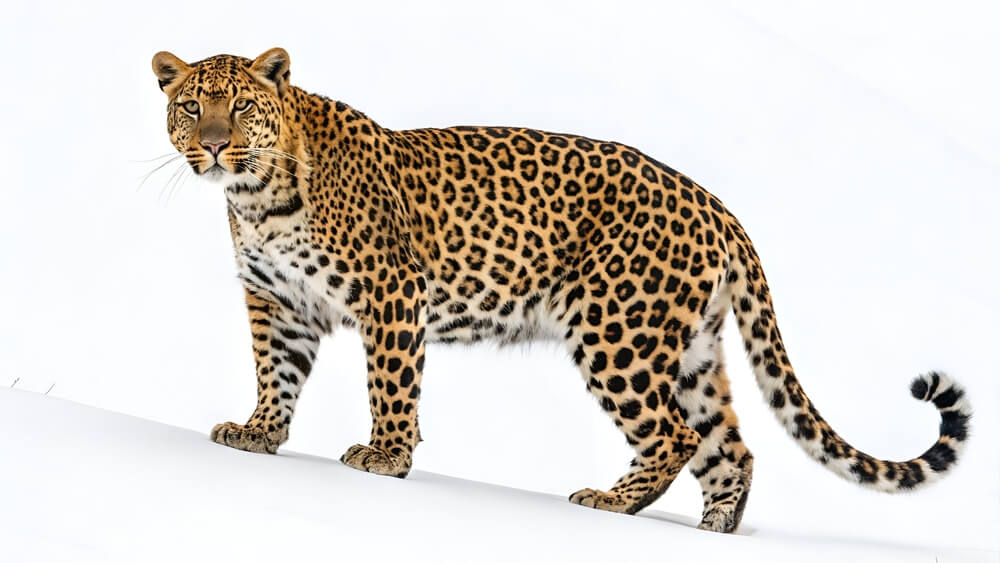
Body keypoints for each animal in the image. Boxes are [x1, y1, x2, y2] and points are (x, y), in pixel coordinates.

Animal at [151, 48, 972, 533]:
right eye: (192, 106)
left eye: (241, 106)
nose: (215, 145)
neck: (256, 195)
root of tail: (717, 207)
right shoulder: (278, 302)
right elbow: (276, 374)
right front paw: (259, 433)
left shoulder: (391, 295)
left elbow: (391, 384)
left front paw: (386, 457)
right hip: (693, 349)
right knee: (729, 445)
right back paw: (713, 532)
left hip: (618, 331)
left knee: (674, 435)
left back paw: (611, 502)